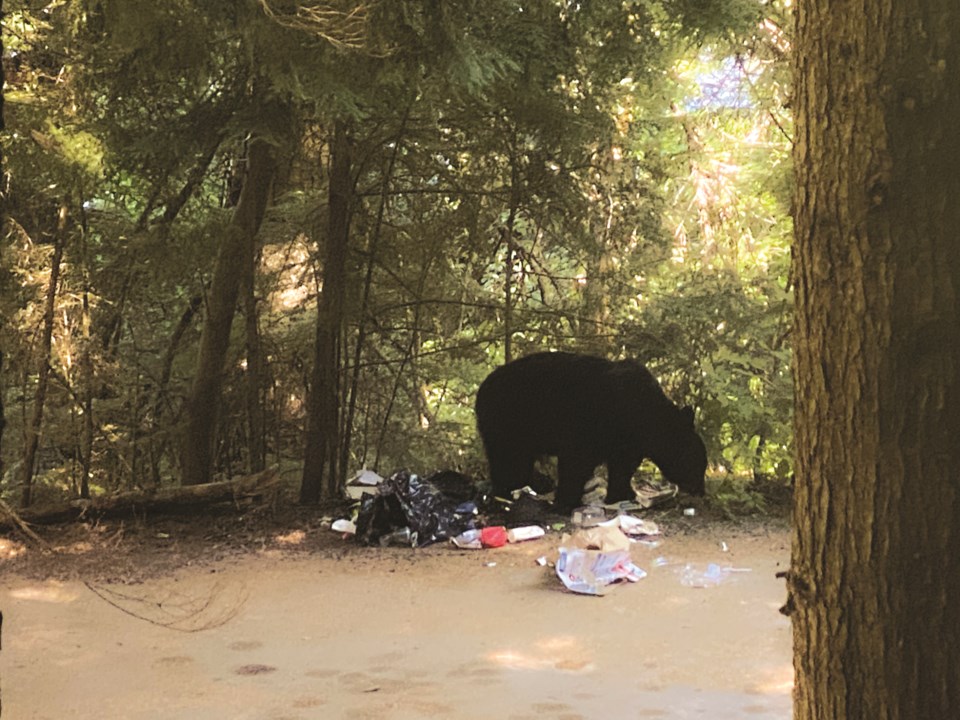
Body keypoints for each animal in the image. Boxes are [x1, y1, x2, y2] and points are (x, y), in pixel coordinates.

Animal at [474, 352, 704, 510]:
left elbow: (622, 466)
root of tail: (482, 388)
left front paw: (623, 494)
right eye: (697, 464)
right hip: (508, 423)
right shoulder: (591, 426)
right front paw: (565, 502)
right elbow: (577, 462)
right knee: (509, 462)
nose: (701, 490)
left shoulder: (627, 442)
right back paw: (506, 493)